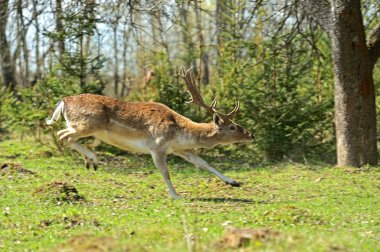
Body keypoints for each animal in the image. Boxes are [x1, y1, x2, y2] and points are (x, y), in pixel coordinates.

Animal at [46, 67, 255, 199]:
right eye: (232, 127)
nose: (251, 135)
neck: (179, 132)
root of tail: (64, 100)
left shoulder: (180, 149)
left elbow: (204, 163)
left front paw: (234, 182)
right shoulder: (157, 146)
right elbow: (165, 173)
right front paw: (176, 196)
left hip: (80, 125)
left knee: (62, 132)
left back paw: (90, 161)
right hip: (90, 124)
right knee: (65, 136)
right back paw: (94, 159)